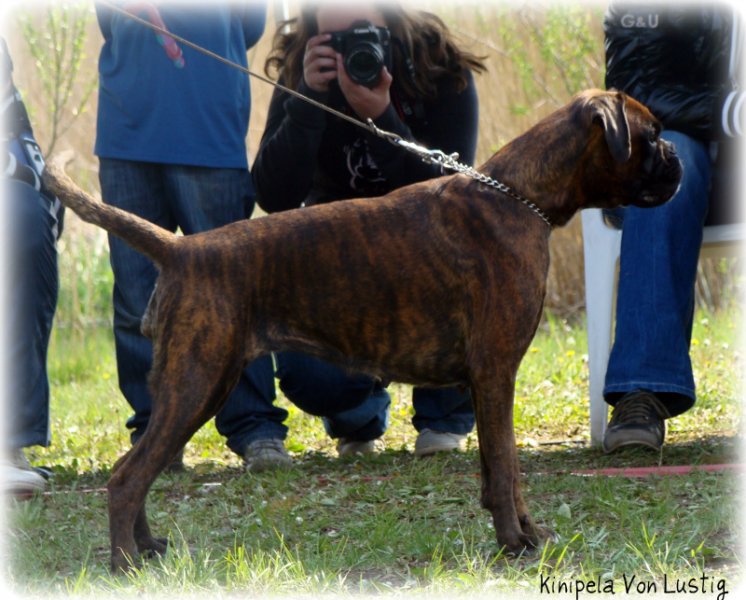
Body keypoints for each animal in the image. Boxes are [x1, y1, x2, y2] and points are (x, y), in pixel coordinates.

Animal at [42, 89, 680, 572]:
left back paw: (148, 547)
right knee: (128, 476)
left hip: (193, 387)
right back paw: (125, 562)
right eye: (650, 136)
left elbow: (495, 468)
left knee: (141, 468)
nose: (676, 154)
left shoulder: (486, 382)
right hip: (196, 383)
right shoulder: (496, 373)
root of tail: (183, 249)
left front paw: (522, 534)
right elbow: (507, 469)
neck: (520, 198)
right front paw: (515, 543)